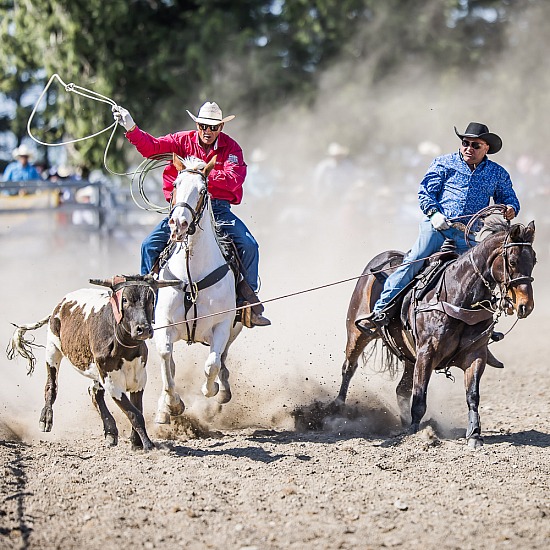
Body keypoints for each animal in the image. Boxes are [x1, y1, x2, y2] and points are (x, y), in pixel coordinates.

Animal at [154, 155, 243, 426]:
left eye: (203, 190)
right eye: (175, 185)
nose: (179, 223)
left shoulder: (222, 325)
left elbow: (212, 364)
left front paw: (211, 390)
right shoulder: (164, 324)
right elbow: (165, 358)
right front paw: (172, 405)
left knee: (221, 359)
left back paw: (222, 390)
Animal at [338, 220, 536, 448]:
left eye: (534, 260)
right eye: (512, 261)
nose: (526, 306)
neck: (458, 297)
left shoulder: (476, 354)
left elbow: (472, 395)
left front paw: (474, 435)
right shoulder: (426, 354)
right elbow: (419, 397)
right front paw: (414, 434)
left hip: (409, 357)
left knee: (401, 390)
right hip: (357, 334)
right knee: (349, 367)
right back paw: (336, 411)